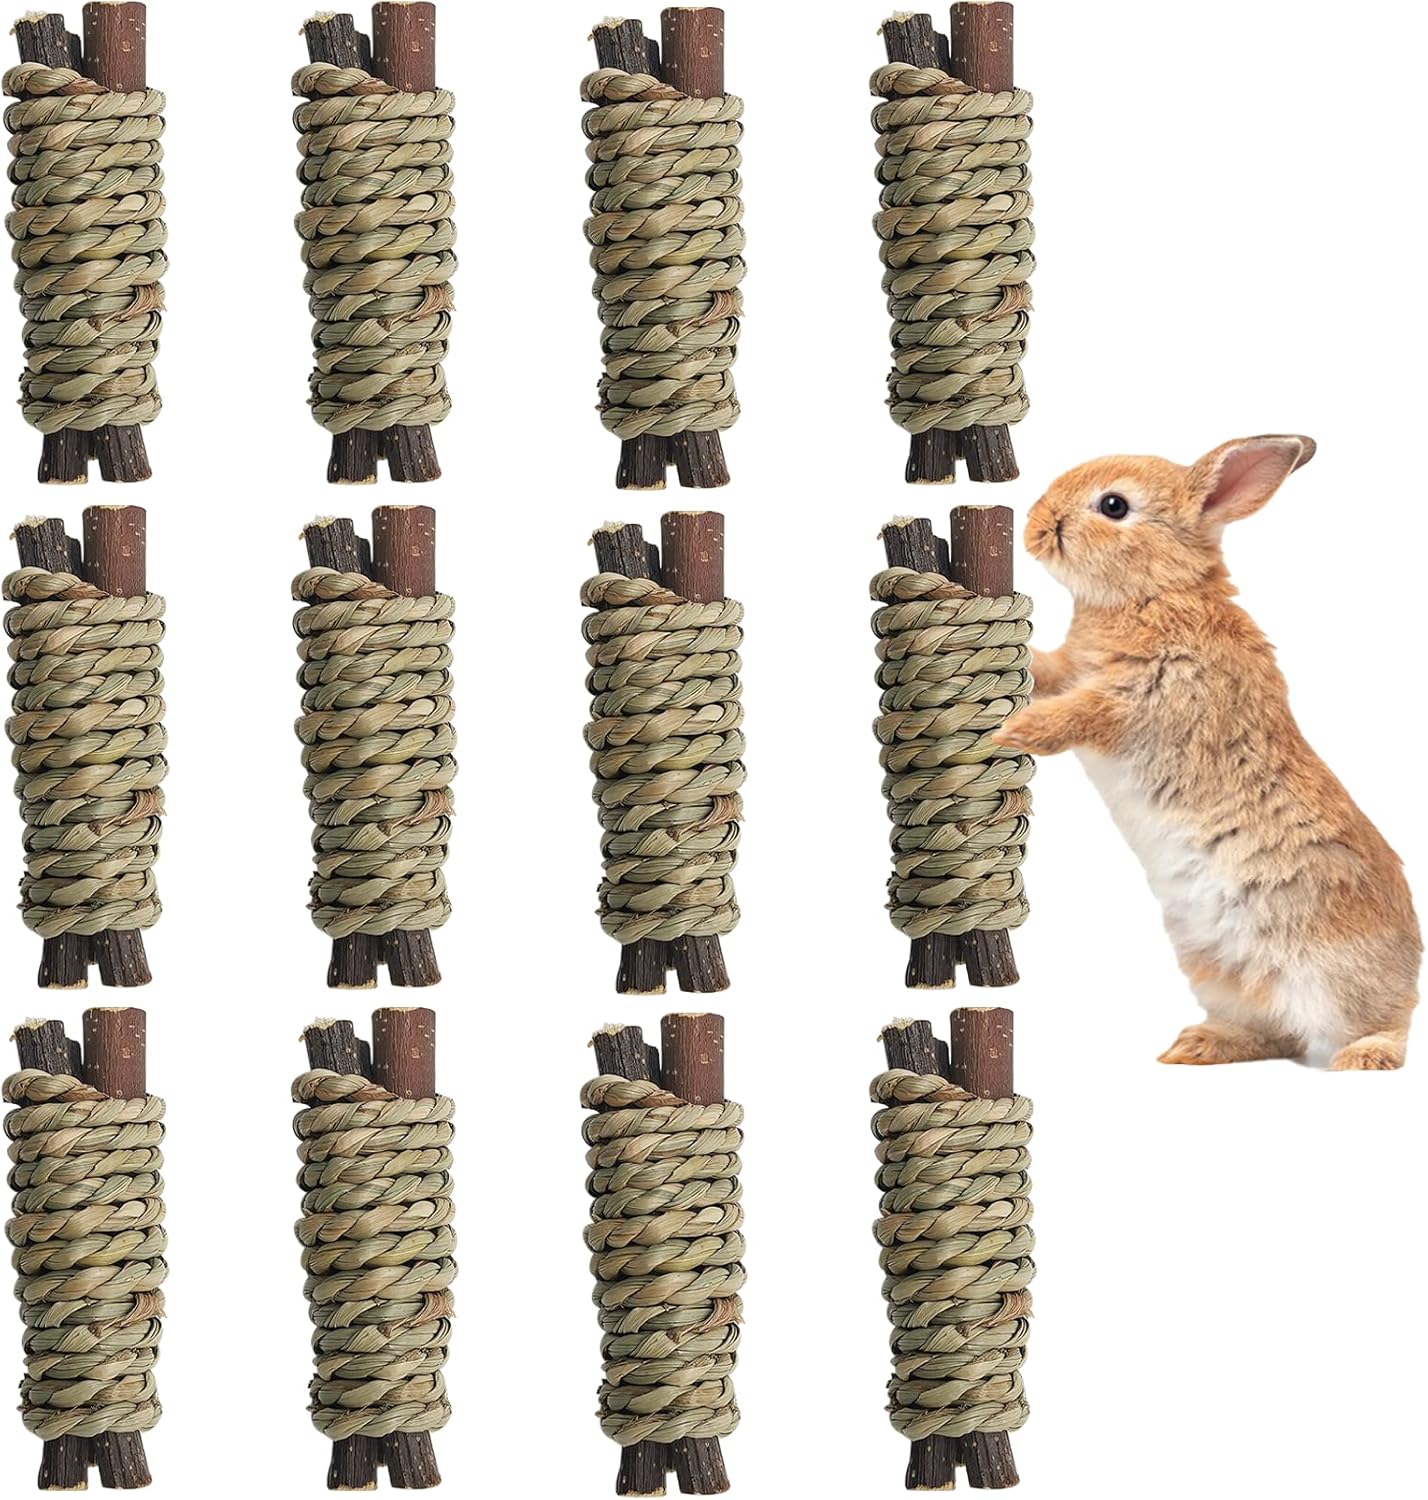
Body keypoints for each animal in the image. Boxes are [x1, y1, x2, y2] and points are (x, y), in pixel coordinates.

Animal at [994, 434, 1420, 1070]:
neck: (1155, 593)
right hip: (1214, 969)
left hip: (1340, 970)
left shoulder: (1146, 699)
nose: (1037, 524)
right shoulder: (1075, 671)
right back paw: (1197, 1046)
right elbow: (1047, 672)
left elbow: (1080, 716)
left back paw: (1362, 1058)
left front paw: (1016, 731)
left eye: (1114, 505)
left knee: (1388, 1021)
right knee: (1277, 1031)